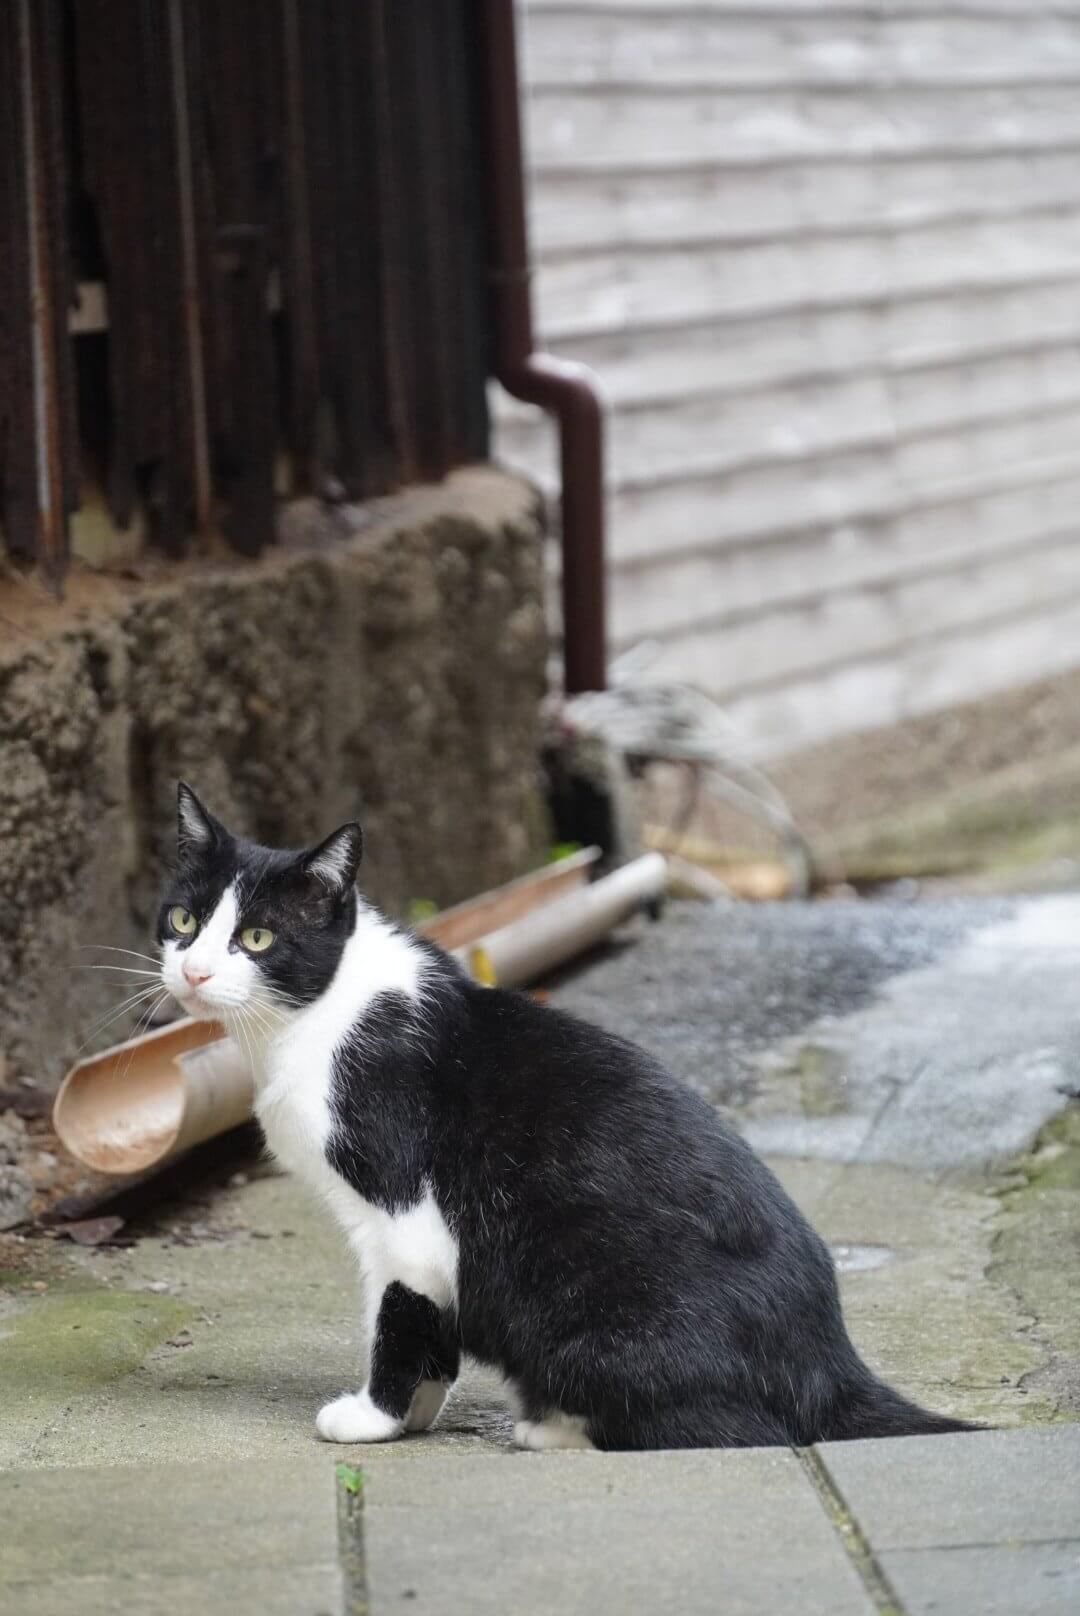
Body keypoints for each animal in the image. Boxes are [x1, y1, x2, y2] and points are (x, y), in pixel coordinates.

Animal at [158, 782, 970, 1454]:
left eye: (258, 938)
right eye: (184, 918)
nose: (192, 972)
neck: (314, 1019)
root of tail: (829, 1361)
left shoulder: (404, 1214)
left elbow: (401, 1315)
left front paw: (375, 1419)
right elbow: (434, 1335)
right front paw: (415, 1418)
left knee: (736, 1432)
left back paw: (555, 1430)